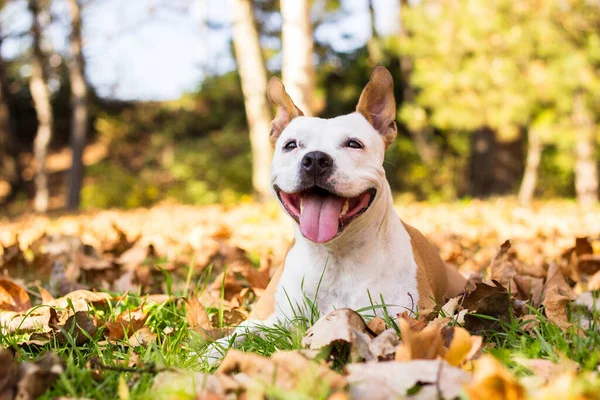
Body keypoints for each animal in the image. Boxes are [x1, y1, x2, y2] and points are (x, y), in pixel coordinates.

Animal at [204, 66, 466, 366]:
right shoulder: (265, 320)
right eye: (291, 145)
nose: (316, 159)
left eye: (354, 144)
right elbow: (232, 338)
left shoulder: (409, 318)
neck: (333, 256)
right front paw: (204, 356)